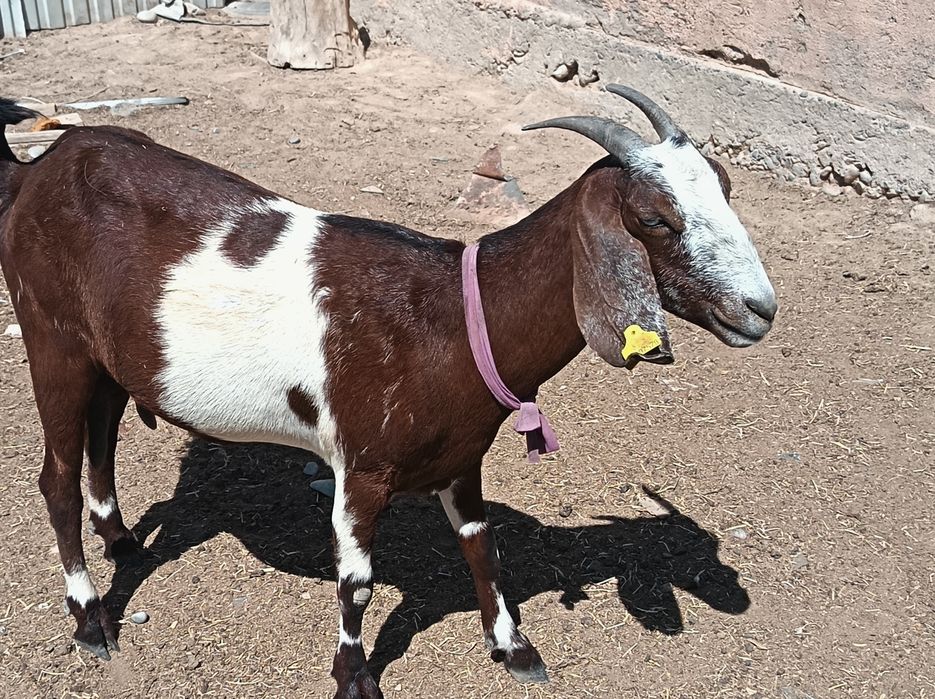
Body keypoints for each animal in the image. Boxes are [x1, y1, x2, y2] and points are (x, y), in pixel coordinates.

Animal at [0, 86, 776, 699]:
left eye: (727, 188)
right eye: (654, 217)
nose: (759, 309)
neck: (454, 319)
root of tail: (38, 171)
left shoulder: (463, 459)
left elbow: (482, 548)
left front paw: (514, 647)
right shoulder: (361, 466)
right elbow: (358, 581)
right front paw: (353, 677)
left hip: (106, 356)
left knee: (103, 436)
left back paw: (124, 542)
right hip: (51, 339)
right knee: (56, 478)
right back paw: (91, 620)